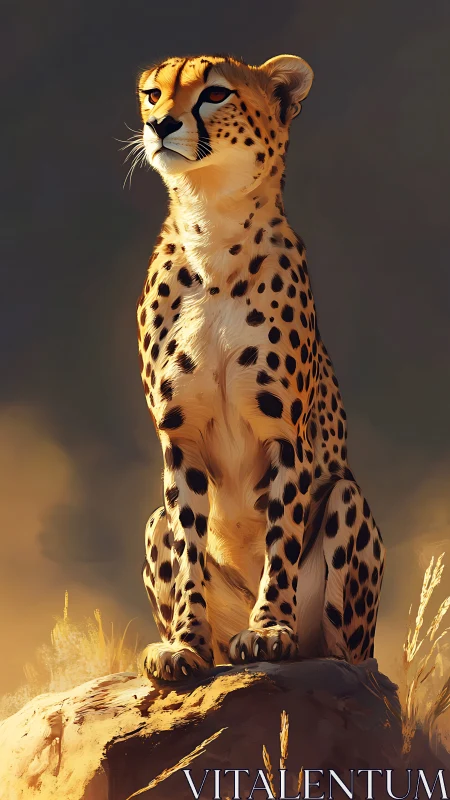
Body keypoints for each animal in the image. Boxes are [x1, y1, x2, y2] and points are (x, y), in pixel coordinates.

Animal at [133, 52, 386, 681]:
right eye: (153, 94)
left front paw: (270, 628)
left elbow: (281, 536)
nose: (159, 125)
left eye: (215, 93)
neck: (212, 235)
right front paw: (185, 643)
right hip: (152, 523)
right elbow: (190, 547)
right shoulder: (179, 437)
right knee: (165, 526)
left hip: (346, 505)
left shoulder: (284, 432)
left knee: (349, 657)